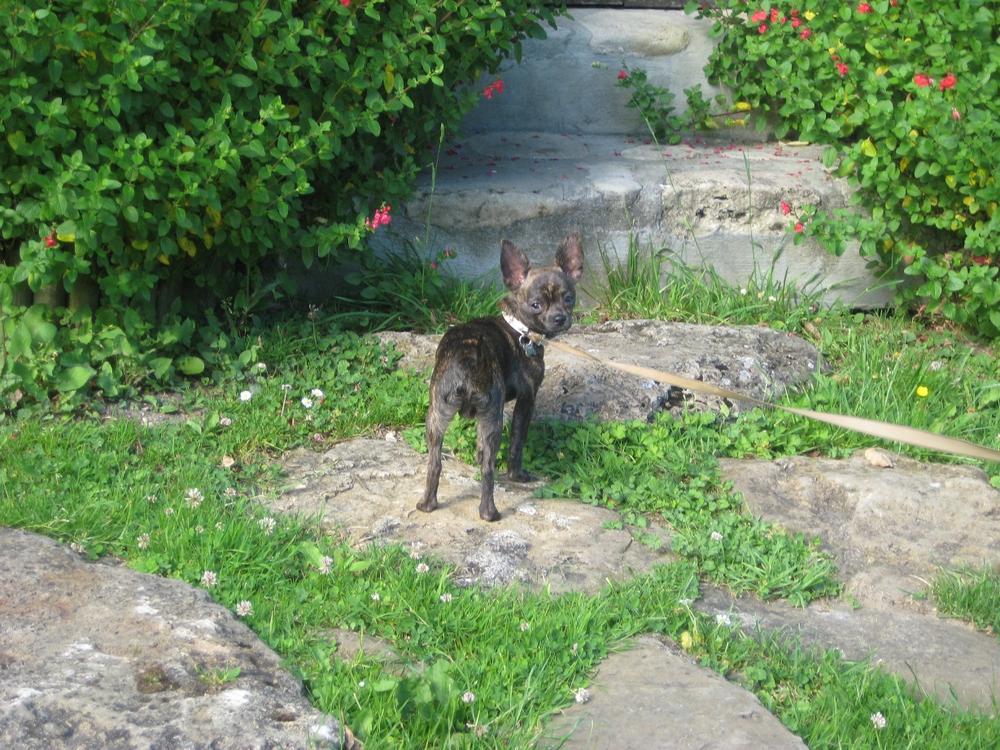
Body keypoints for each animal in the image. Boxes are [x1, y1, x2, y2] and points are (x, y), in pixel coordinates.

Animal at [417, 234, 584, 521]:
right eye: (536, 305)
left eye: (569, 298)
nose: (559, 317)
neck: (520, 327)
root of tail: (467, 354)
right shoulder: (527, 399)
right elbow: (517, 442)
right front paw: (518, 475)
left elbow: (478, 448)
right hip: (492, 416)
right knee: (488, 469)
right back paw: (489, 512)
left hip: (437, 413)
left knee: (434, 462)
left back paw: (428, 503)